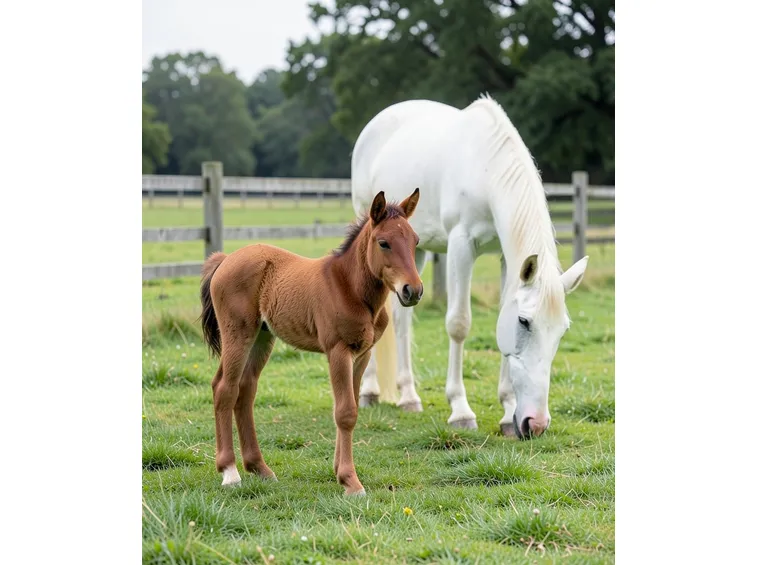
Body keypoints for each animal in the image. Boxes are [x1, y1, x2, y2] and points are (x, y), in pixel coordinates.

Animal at [199, 189, 423, 495]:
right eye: (384, 243)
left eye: (415, 241)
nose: (413, 291)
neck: (348, 286)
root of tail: (224, 259)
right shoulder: (338, 351)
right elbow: (345, 412)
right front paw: (350, 481)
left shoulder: (362, 354)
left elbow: (350, 407)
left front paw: (339, 471)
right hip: (238, 334)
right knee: (225, 388)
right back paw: (230, 472)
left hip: (262, 337)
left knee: (245, 390)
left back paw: (260, 468)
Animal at [351, 94, 589, 440]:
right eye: (525, 321)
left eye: (562, 330)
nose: (536, 423)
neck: (486, 170)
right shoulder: (461, 245)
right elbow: (459, 323)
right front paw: (461, 411)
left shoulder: (505, 257)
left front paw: (507, 414)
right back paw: (369, 391)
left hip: (414, 252)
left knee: (401, 319)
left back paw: (409, 396)